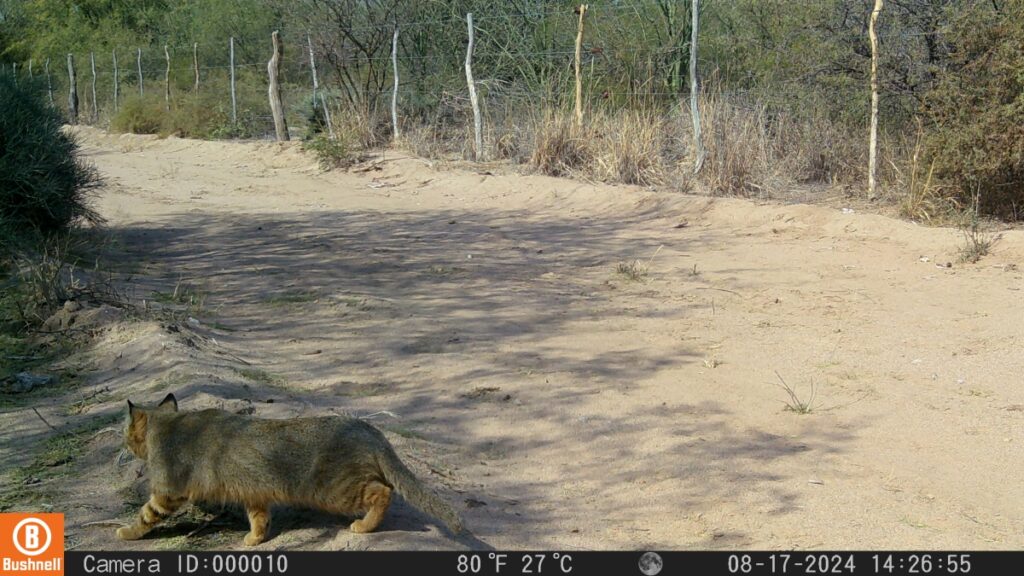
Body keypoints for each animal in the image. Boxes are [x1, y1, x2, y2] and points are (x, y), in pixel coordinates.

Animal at [117, 391, 464, 545]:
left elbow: (145, 515)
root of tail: (366, 427)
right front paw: (255, 539)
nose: (124, 443)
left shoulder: (166, 493)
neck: (168, 425)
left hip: (336, 490)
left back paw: (364, 526)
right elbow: (259, 519)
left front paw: (126, 532)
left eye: (125, 431)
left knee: (383, 492)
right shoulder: (254, 494)